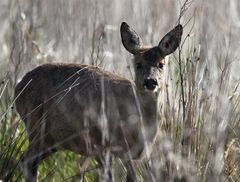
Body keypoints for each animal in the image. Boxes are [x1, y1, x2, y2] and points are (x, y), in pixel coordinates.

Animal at [15, 22, 183, 181]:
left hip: (53, 140)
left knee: (28, 160)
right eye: (138, 64)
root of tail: (18, 87)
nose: (150, 81)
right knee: (28, 160)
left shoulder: (129, 154)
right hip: (37, 127)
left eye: (161, 64)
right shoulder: (100, 143)